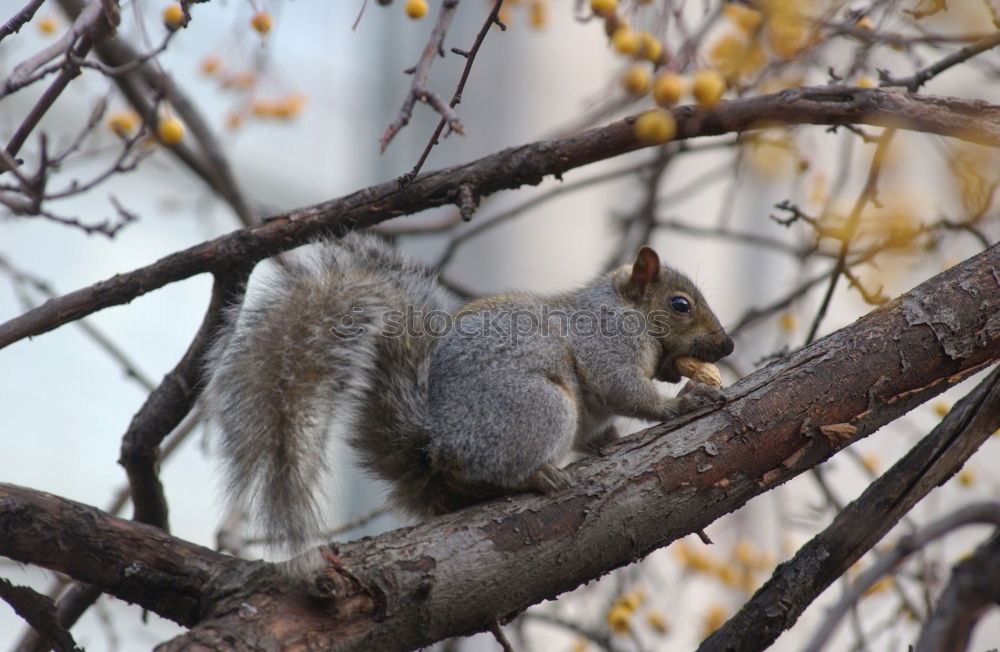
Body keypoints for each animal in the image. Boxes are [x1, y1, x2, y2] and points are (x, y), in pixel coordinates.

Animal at [203, 233, 736, 556]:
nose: (727, 346)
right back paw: (536, 477)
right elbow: (623, 388)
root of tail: (435, 443)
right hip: (541, 409)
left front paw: (610, 444)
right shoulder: (606, 345)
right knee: (487, 472)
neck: (627, 311)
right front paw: (682, 402)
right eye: (680, 305)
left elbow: (598, 432)